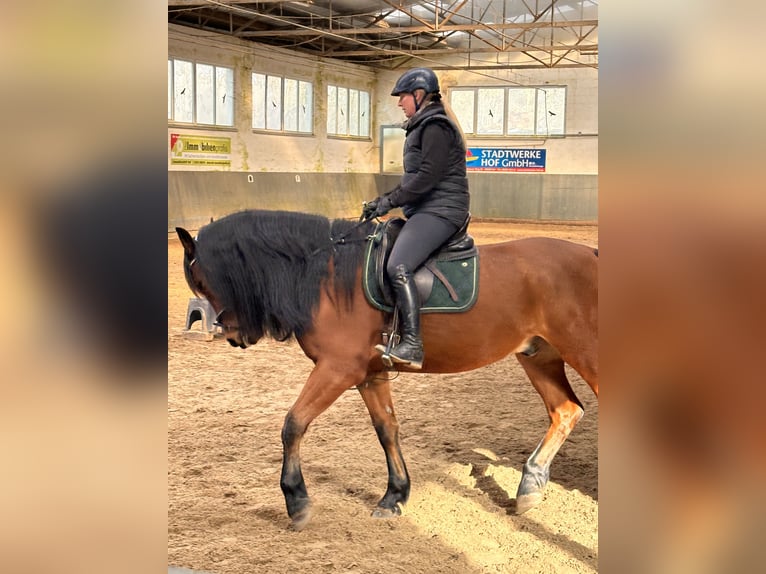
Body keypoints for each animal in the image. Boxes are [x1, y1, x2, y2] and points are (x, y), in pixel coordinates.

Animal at [176, 210, 600, 532]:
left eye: (201, 280)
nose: (233, 336)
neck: (327, 277)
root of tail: (593, 255)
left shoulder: (338, 369)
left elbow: (293, 424)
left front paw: (297, 502)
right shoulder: (369, 374)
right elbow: (387, 430)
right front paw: (395, 495)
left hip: (585, 353)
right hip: (538, 355)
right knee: (566, 410)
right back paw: (530, 486)